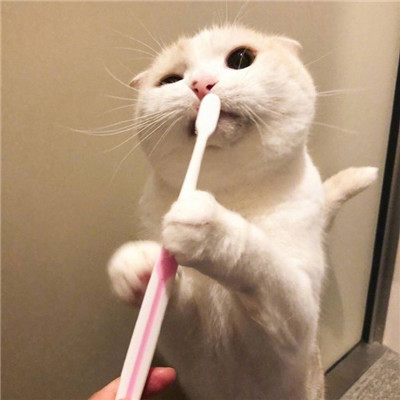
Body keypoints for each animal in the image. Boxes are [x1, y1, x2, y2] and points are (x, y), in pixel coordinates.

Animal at [108, 25, 377, 400]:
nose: (201, 84)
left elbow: (260, 262)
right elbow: (173, 300)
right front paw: (137, 267)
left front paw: (208, 227)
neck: (231, 196)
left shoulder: (291, 325)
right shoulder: (192, 342)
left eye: (240, 59)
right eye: (170, 80)